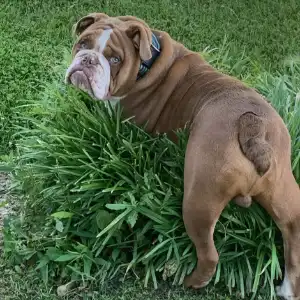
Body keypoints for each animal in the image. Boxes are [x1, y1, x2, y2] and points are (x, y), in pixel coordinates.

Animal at [65, 12, 300, 298]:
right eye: (83, 43)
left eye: (115, 60)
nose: (88, 59)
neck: (146, 63)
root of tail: (252, 124)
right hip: (282, 187)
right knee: (293, 229)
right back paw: (288, 288)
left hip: (199, 197)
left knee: (209, 255)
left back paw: (190, 281)